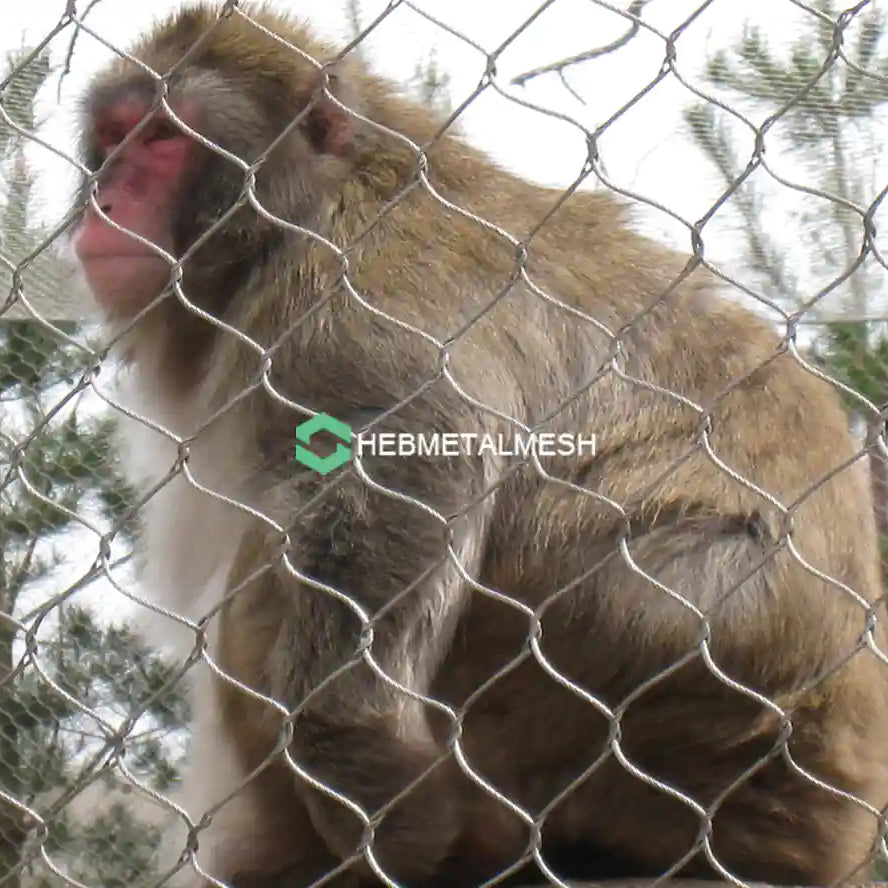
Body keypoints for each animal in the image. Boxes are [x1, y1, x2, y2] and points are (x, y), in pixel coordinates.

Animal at [69, 3, 888, 887]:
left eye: (161, 138)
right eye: (113, 136)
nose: (106, 197)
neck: (307, 212)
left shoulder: (347, 299)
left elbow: (419, 459)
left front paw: (382, 810)